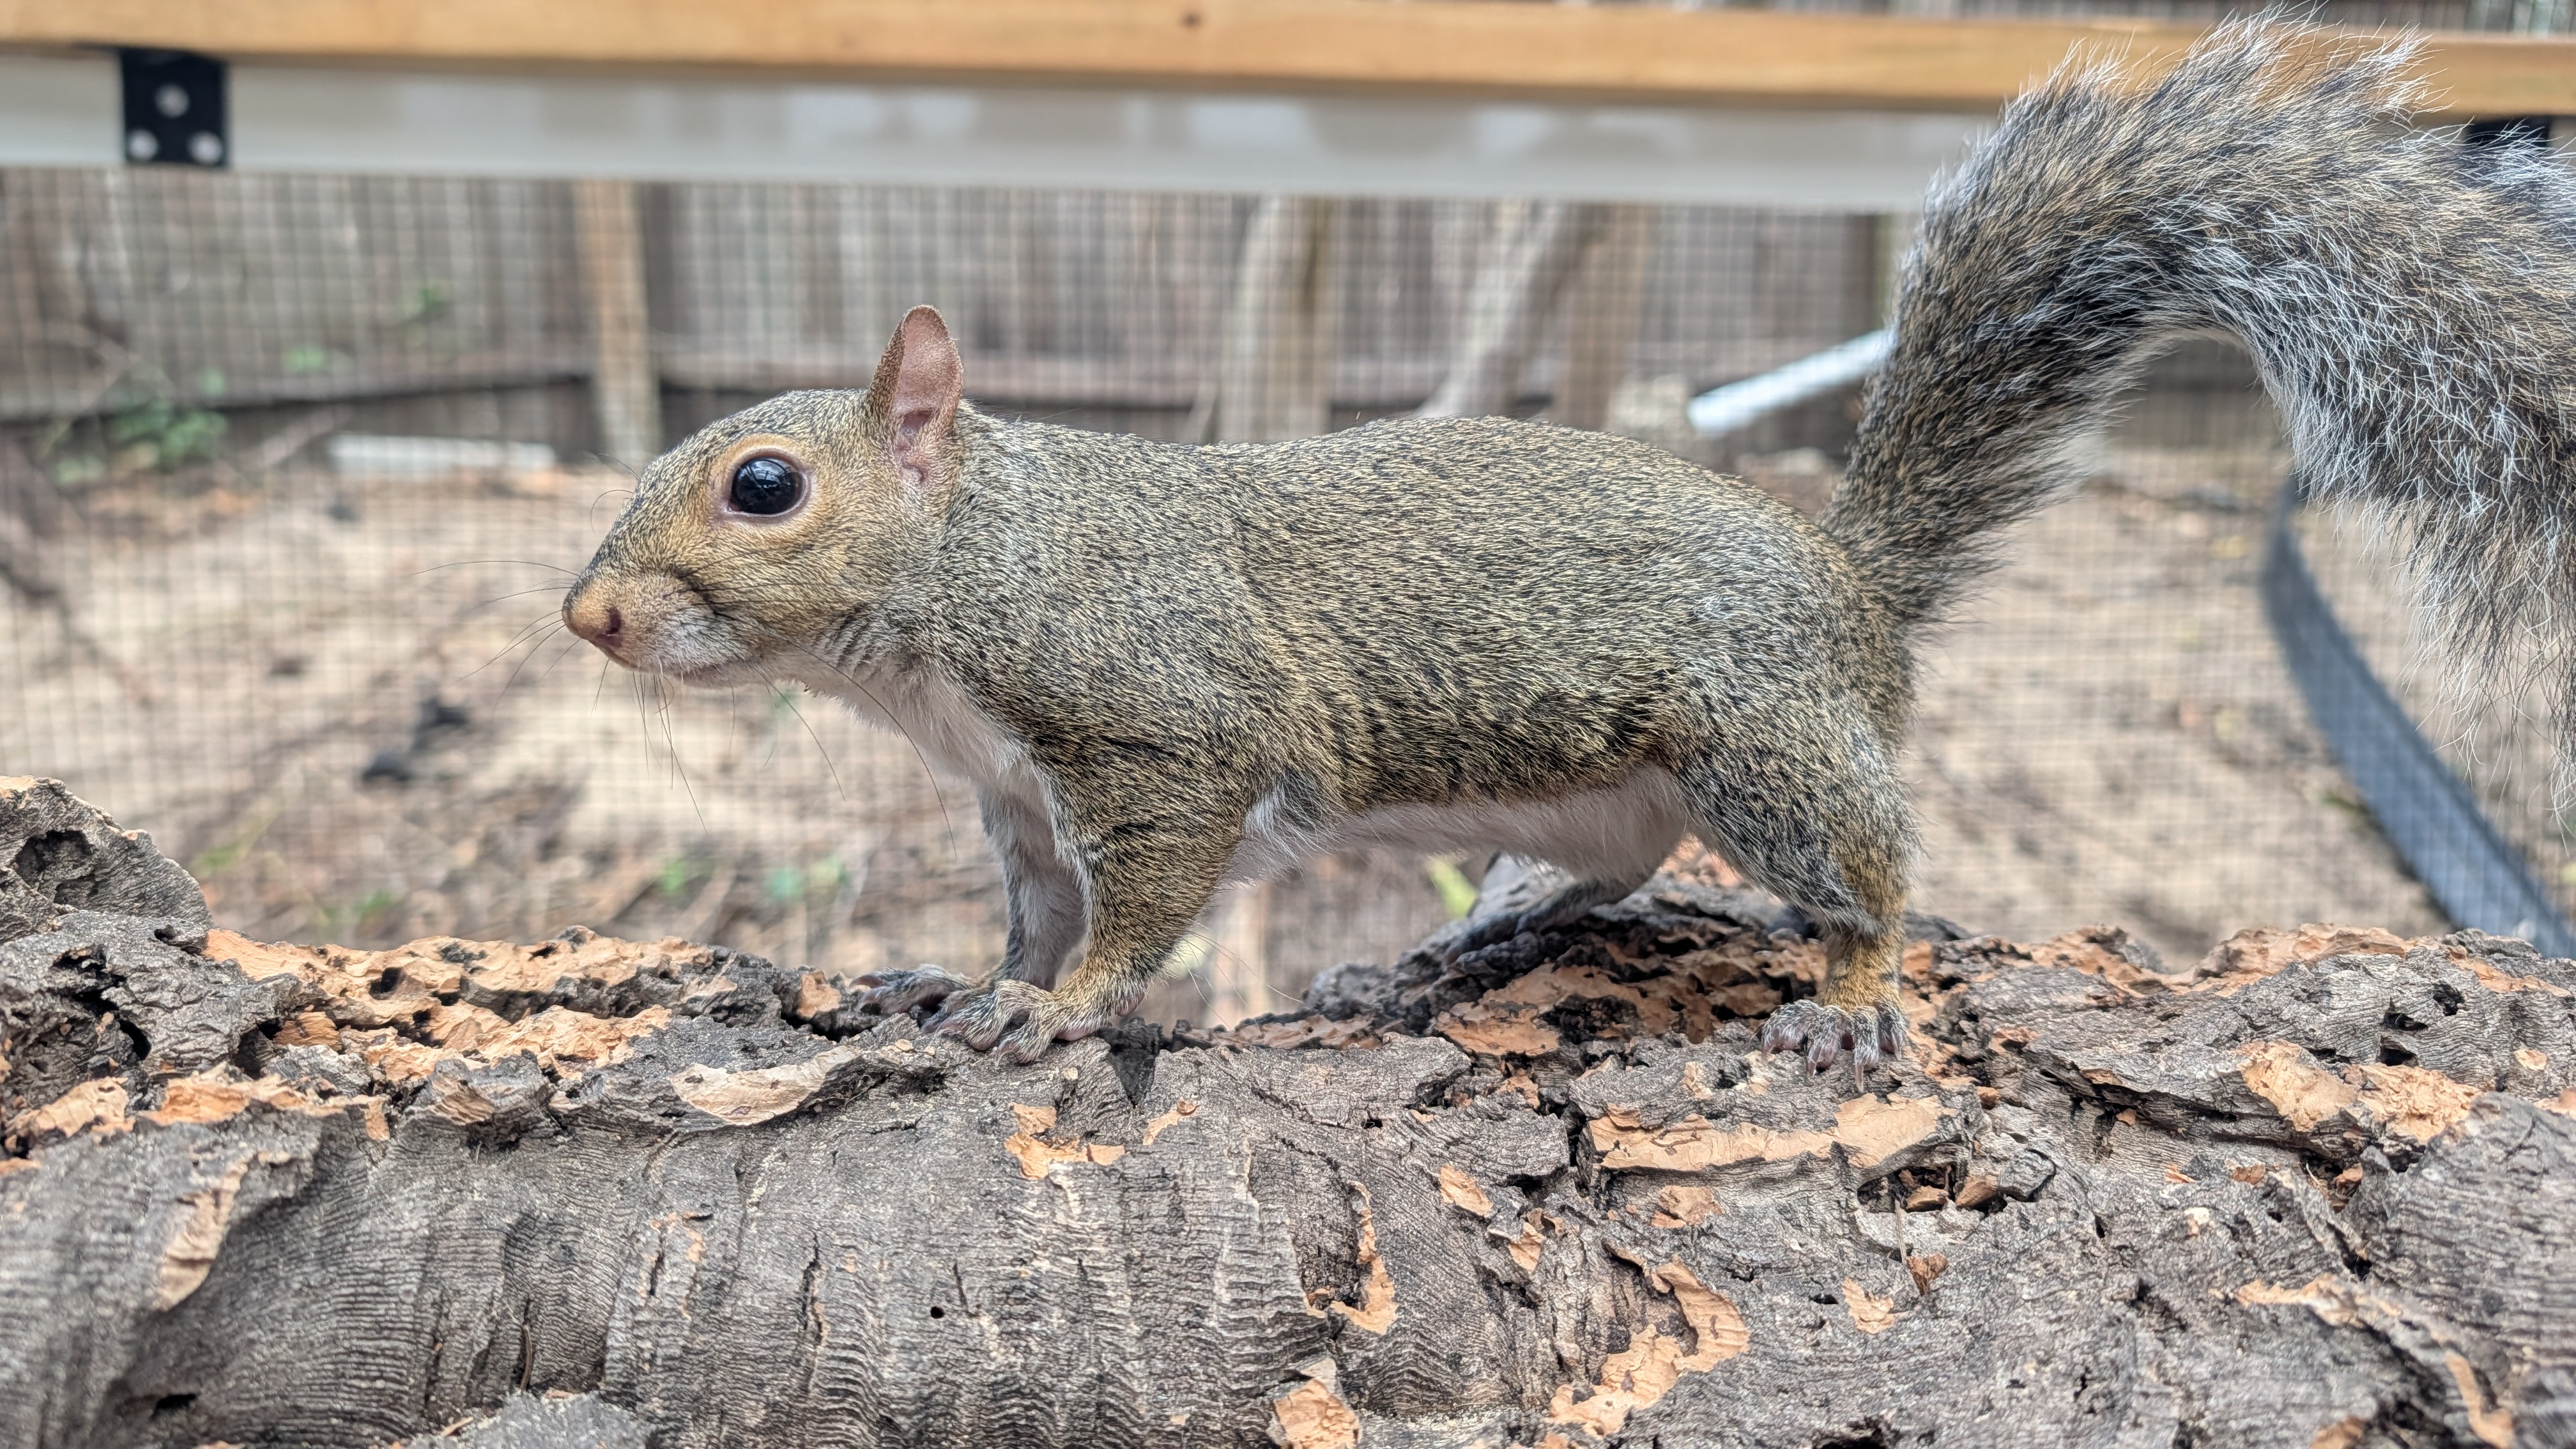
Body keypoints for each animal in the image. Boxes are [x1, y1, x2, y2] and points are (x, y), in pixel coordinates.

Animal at [562, 24, 2576, 1069]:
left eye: (762, 486)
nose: (585, 616)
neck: (977, 578)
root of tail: (1854, 599)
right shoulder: (1020, 800)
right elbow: (1032, 915)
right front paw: (962, 987)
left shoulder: (1158, 732)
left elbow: (1136, 914)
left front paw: (1061, 1019)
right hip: (1617, 789)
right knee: (1611, 871)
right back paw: (1469, 944)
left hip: (1761, 749)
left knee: (1872, 875)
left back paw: (1850, 990)